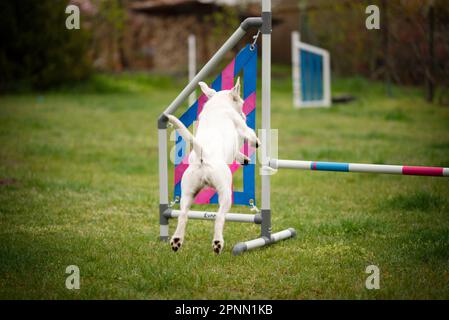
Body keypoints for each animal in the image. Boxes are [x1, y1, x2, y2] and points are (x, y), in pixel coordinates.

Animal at [165, 79, 260, 254]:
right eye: (242, 103)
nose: (244, 115)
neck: (218, 105)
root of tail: (204, 156)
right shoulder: (243, 129)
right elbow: (250, 135)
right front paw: (256, 143)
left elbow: (237, 153)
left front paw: (243, 159)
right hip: (226, 194)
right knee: (219, 217)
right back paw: (217, 243)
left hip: (187, 194)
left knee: (183, 215)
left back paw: (176, 241)